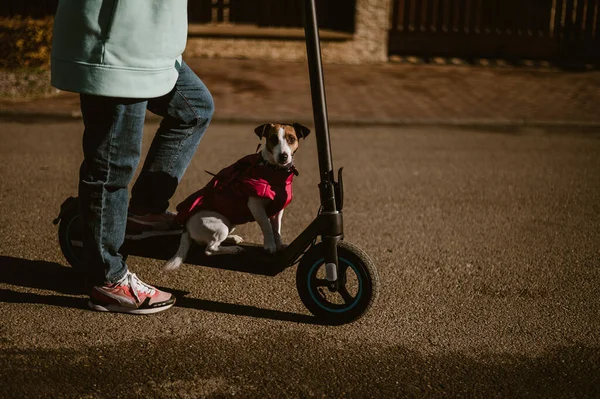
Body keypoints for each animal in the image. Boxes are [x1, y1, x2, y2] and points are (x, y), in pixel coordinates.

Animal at [164, 122, 312, 272]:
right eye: (273, 139)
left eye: (291, 139)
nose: (283, 156)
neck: (273, 171)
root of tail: (186, 228)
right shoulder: (256, 206)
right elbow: (267, 226)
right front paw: (270, 245)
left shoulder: (278, 210)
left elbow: (277, 228)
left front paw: (279, 245)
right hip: (220, 224)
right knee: (210, 249)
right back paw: (234, 249)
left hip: (231, 222)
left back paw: (233, 239)